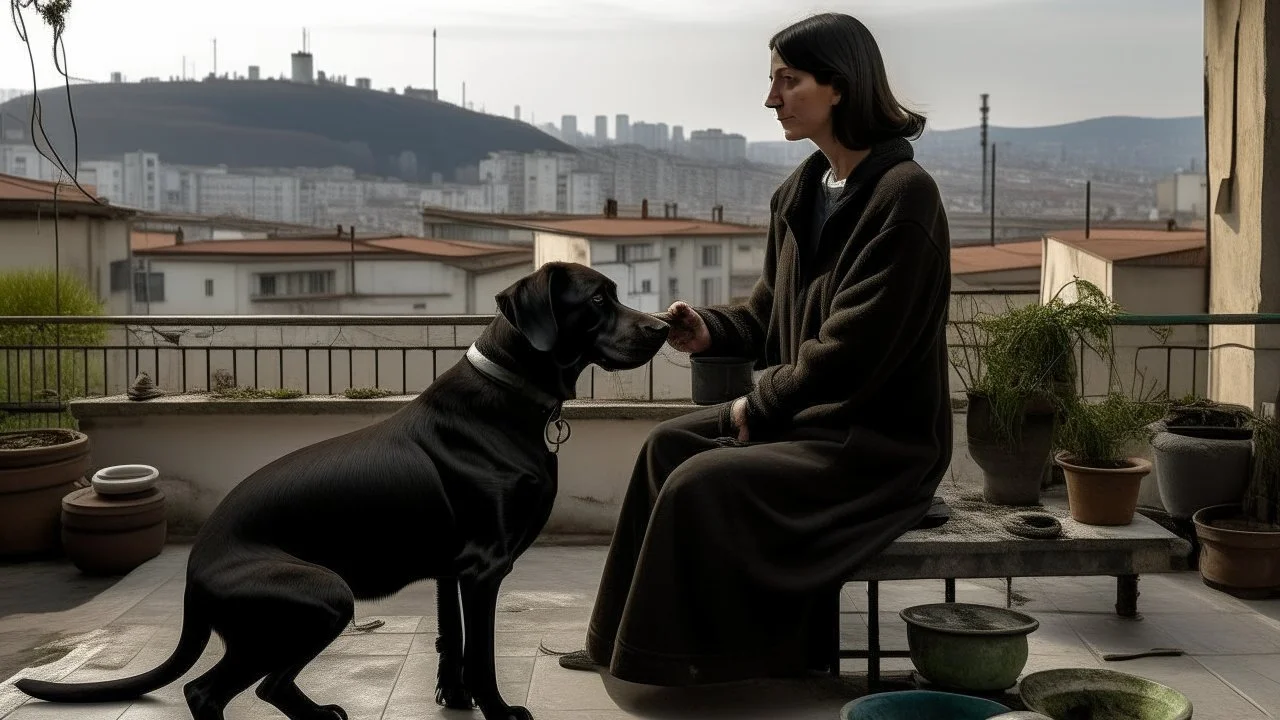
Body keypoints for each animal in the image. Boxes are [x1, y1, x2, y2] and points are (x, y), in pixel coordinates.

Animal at [17, 260, 670, 717]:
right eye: (597, 300)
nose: (663, 327)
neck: (509, 393)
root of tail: (192, 578)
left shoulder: (451, 568)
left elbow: (451, 641)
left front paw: (453, 699)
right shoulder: (484, 566)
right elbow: (481, 656)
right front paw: (500, 711)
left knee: (257, 686)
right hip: (323, 594)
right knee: (213, 691)